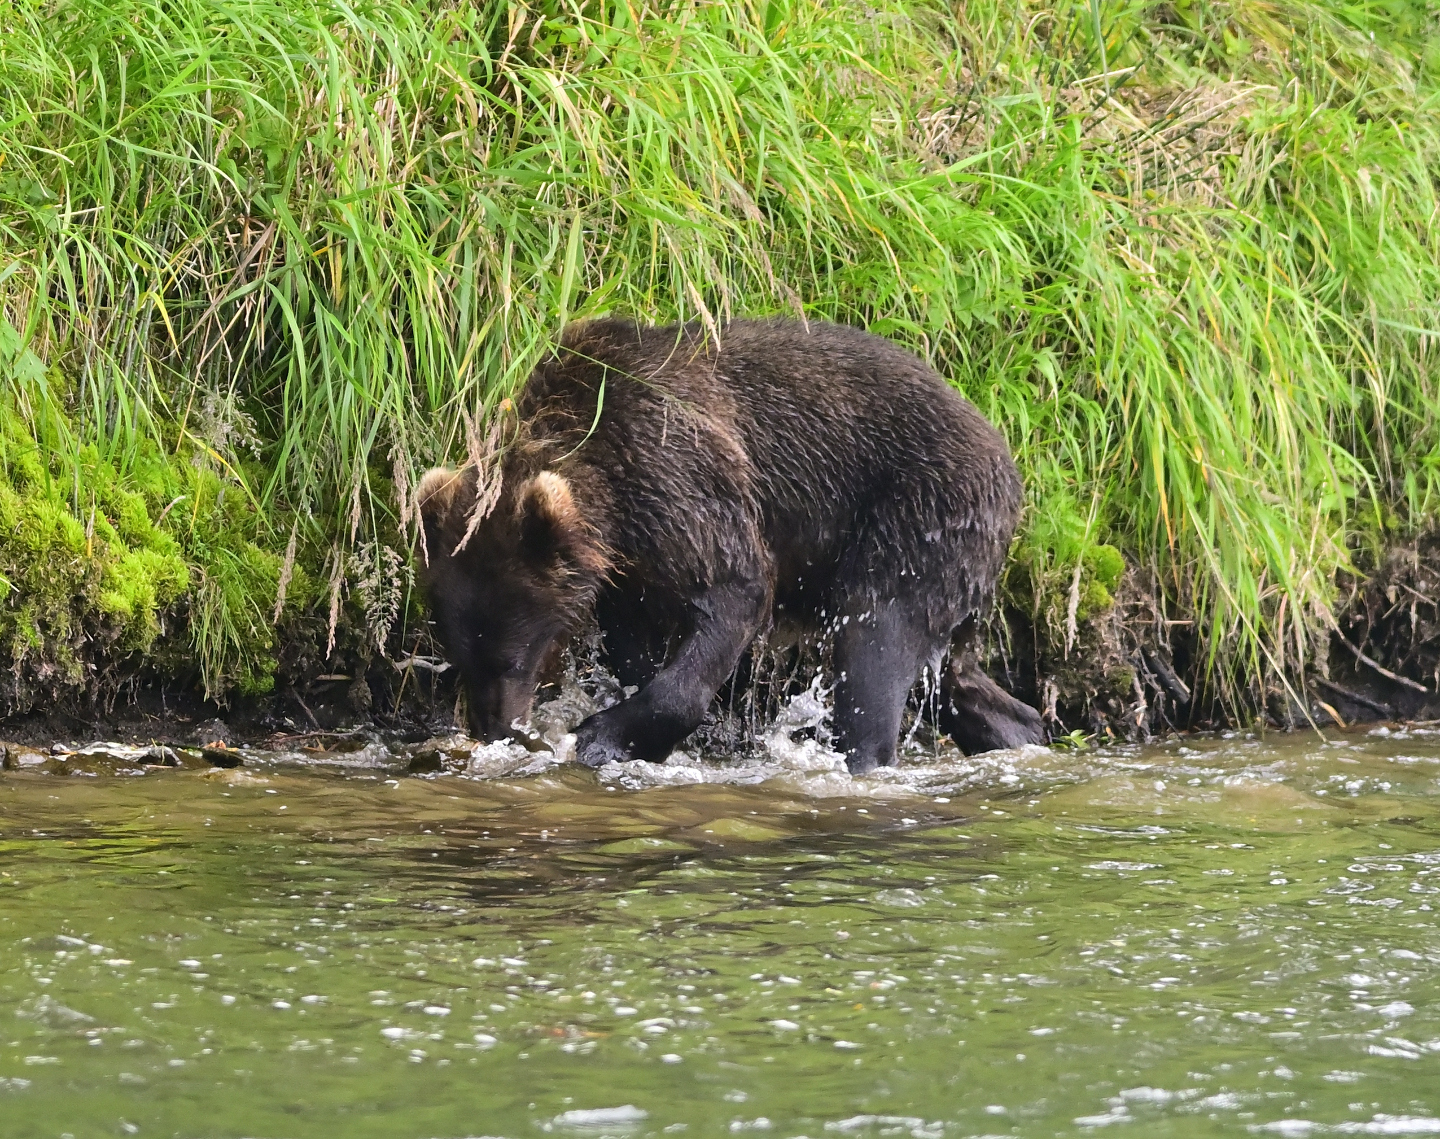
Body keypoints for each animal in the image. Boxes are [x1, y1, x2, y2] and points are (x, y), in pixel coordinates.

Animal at [417, 316, 1036, 771]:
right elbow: (634, 642)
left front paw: (602, 737)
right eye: (460, 654)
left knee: (876, 637)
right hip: (954, 563)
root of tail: (1006, 454)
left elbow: (733, 592)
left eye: (512, 656)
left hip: (919, 512)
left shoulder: (676, 473)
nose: (495, 728)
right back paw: (1021, 731)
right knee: (953, 673)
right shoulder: (630, 567)